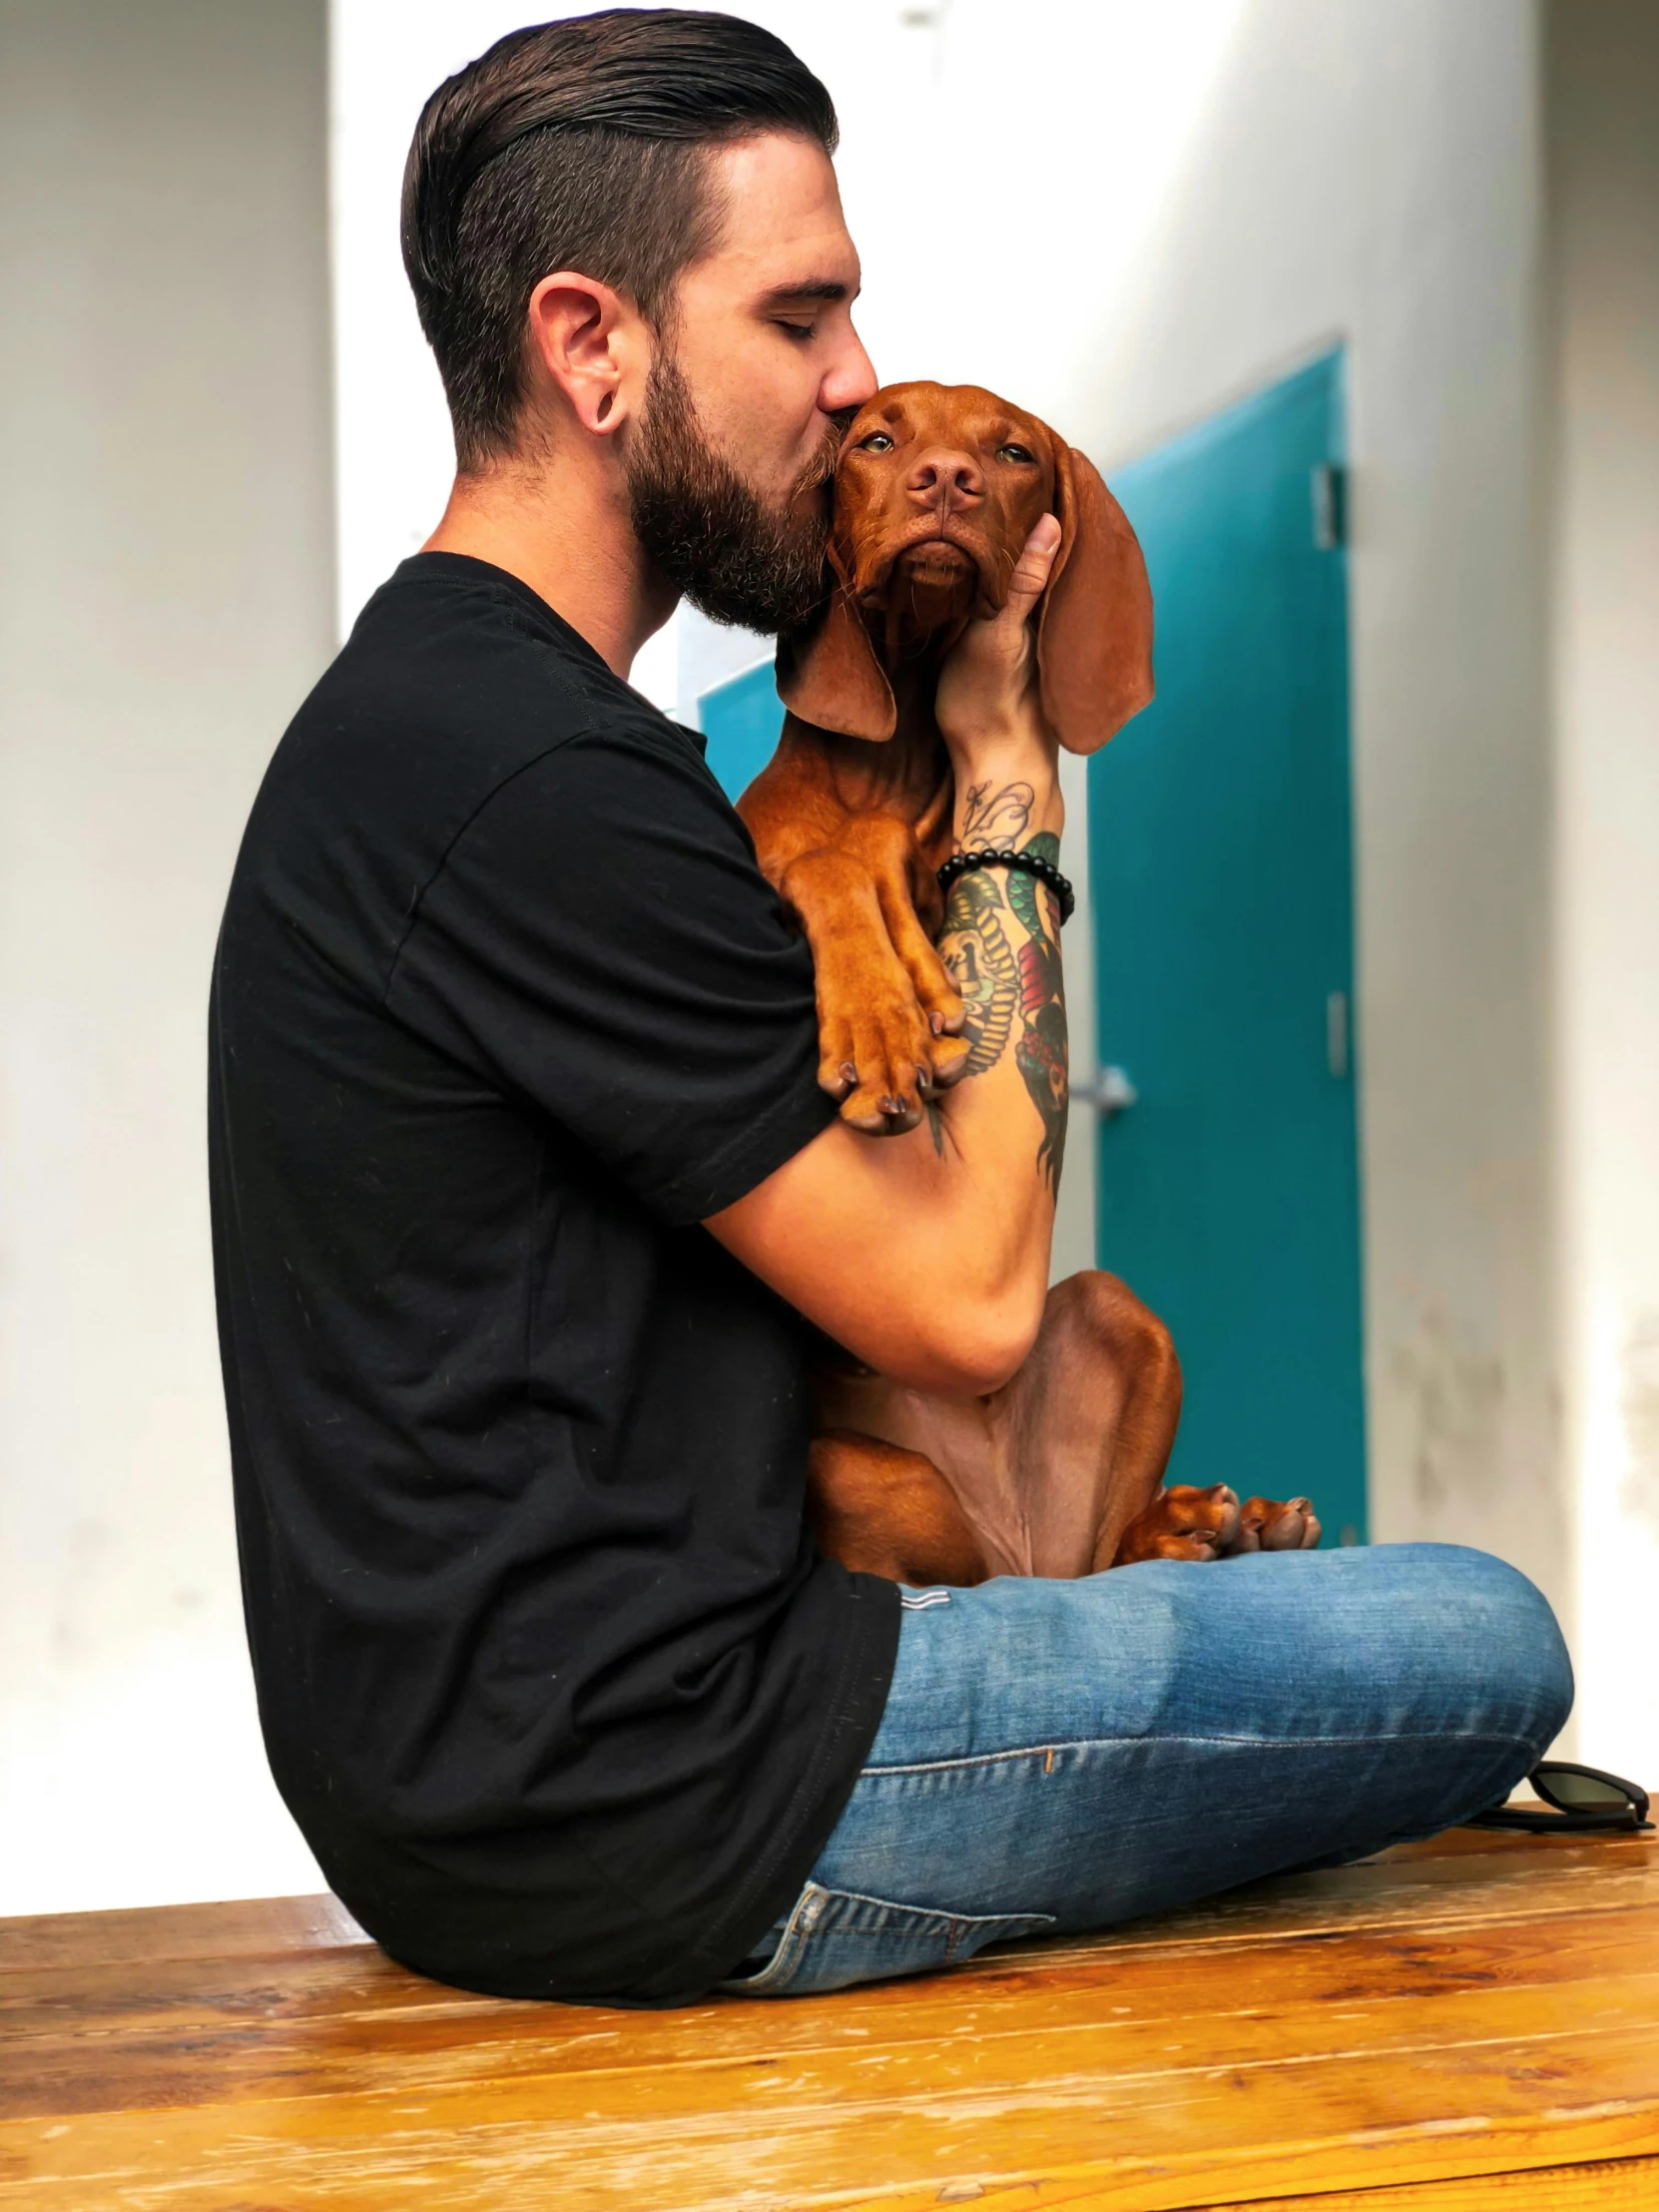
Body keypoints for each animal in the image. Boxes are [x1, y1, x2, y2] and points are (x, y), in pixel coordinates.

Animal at [739, 384, 1327, 1592]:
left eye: (1011, 452)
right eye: (877, 437)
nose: (947, 482)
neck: (895, 757)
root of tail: (1010, 1536)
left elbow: (888, 860)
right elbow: (828, 862)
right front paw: (879, 1018)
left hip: (1118, 1315)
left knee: (1098, 1562)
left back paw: (1208, 1526)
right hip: (860, 1478)